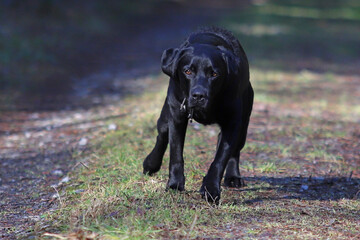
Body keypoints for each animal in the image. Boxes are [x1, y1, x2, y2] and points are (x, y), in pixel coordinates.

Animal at [143, 26, 253, 202]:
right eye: (187, 71)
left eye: (214, 74)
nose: (199, 95)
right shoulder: (177, 117)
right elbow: (175, 154)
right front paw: (175, 185)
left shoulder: (232, 123)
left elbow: (220, 159)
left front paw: (211, 189)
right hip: (166, 115)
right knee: (162, 135)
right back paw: (150, 164)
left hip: (244, 122)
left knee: (234, 150)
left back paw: (233, 177)